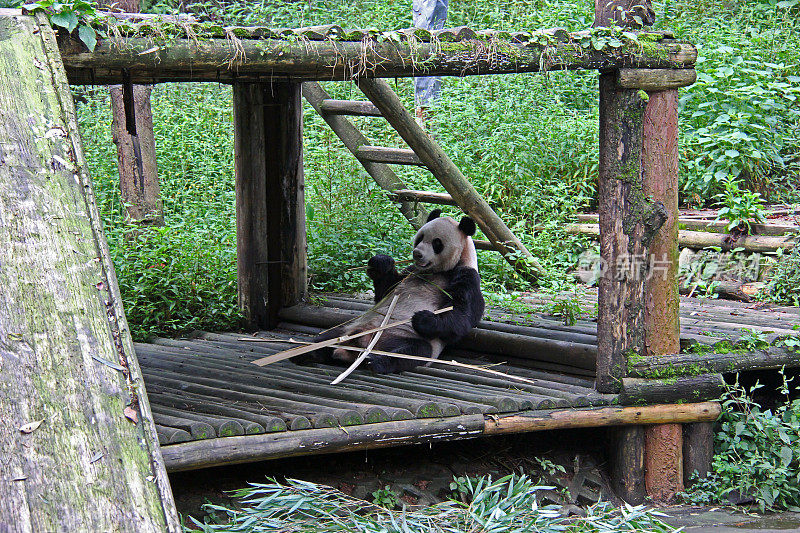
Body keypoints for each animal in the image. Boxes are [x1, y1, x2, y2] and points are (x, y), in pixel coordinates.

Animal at [296, 210, 484, 372]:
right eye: (420, 238)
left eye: (437, 243)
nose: (417, 253)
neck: (437, 272)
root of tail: (356, 345)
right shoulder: (410, 272)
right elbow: (385, 290)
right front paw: (380, 263)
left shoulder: (466, 276)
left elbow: (462, 318)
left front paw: (423, 318)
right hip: (346, 329)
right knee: (326, 337)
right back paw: (306, 352)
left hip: (403, 337)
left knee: (411, 351)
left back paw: (376, 362)